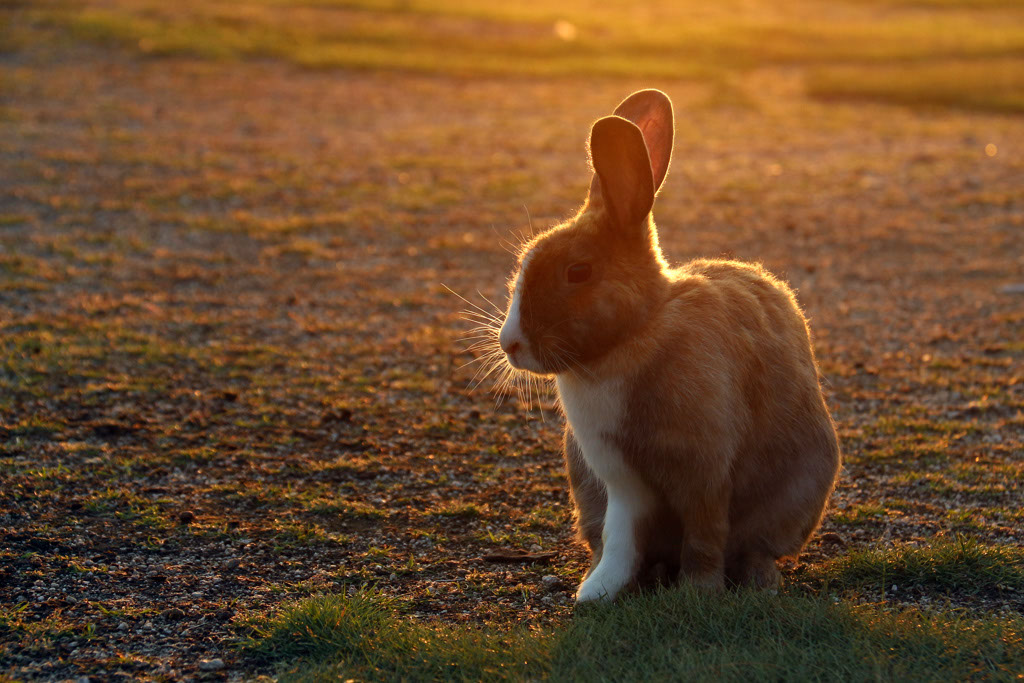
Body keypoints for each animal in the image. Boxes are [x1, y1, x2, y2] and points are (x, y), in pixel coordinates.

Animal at [497, 89, 840, 603]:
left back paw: (759, 582)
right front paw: (596, 593)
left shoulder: (704, 470)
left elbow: (704, 535)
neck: (637, 332)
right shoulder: (619, 482)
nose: (510, 344)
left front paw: (697, 592)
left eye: (578, 271)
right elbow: (620, 539)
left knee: (754, 548)